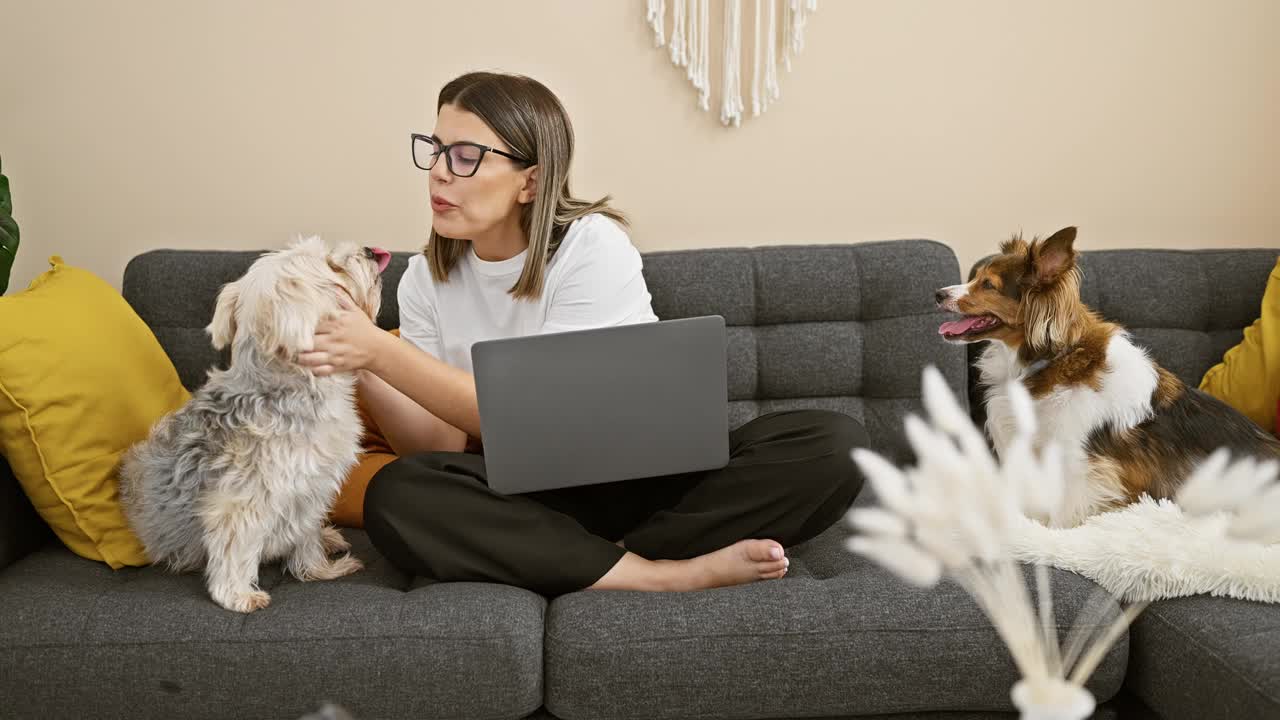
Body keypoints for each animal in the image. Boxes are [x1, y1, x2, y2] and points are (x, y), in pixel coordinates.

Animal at [120, 235, 389, 609]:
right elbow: (233, 548)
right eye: (331, 265)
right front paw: (237, 595)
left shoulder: (310, 490)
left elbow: (306, 535)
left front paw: (319, 570)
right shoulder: (239, 503)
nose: (369, 251)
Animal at [936, 226, 1274, 525]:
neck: (1052, 358)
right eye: (976, 277)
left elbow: (1062, 513)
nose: (938, 293)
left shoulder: (1077, 460)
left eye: (988, 285)